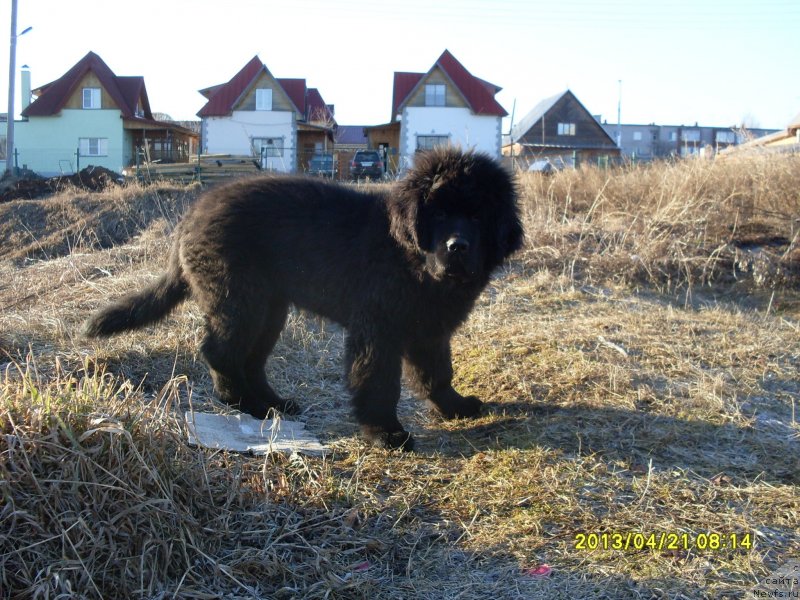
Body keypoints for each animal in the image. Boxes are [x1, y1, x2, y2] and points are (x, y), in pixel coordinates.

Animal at [84, 149, 520, 450]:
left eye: (478, 217)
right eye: (440, 214)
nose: (457, 247)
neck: (411, 258)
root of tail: (191, 216)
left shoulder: (430, 331)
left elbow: (438, 373)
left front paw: (455, 407)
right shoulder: (377, 329)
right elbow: (379, 382)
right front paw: (385, 433)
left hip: (269, 307)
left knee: (251, 359)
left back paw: (273, 404)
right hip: (239, 298)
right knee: (219, 350)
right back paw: (244, 403)